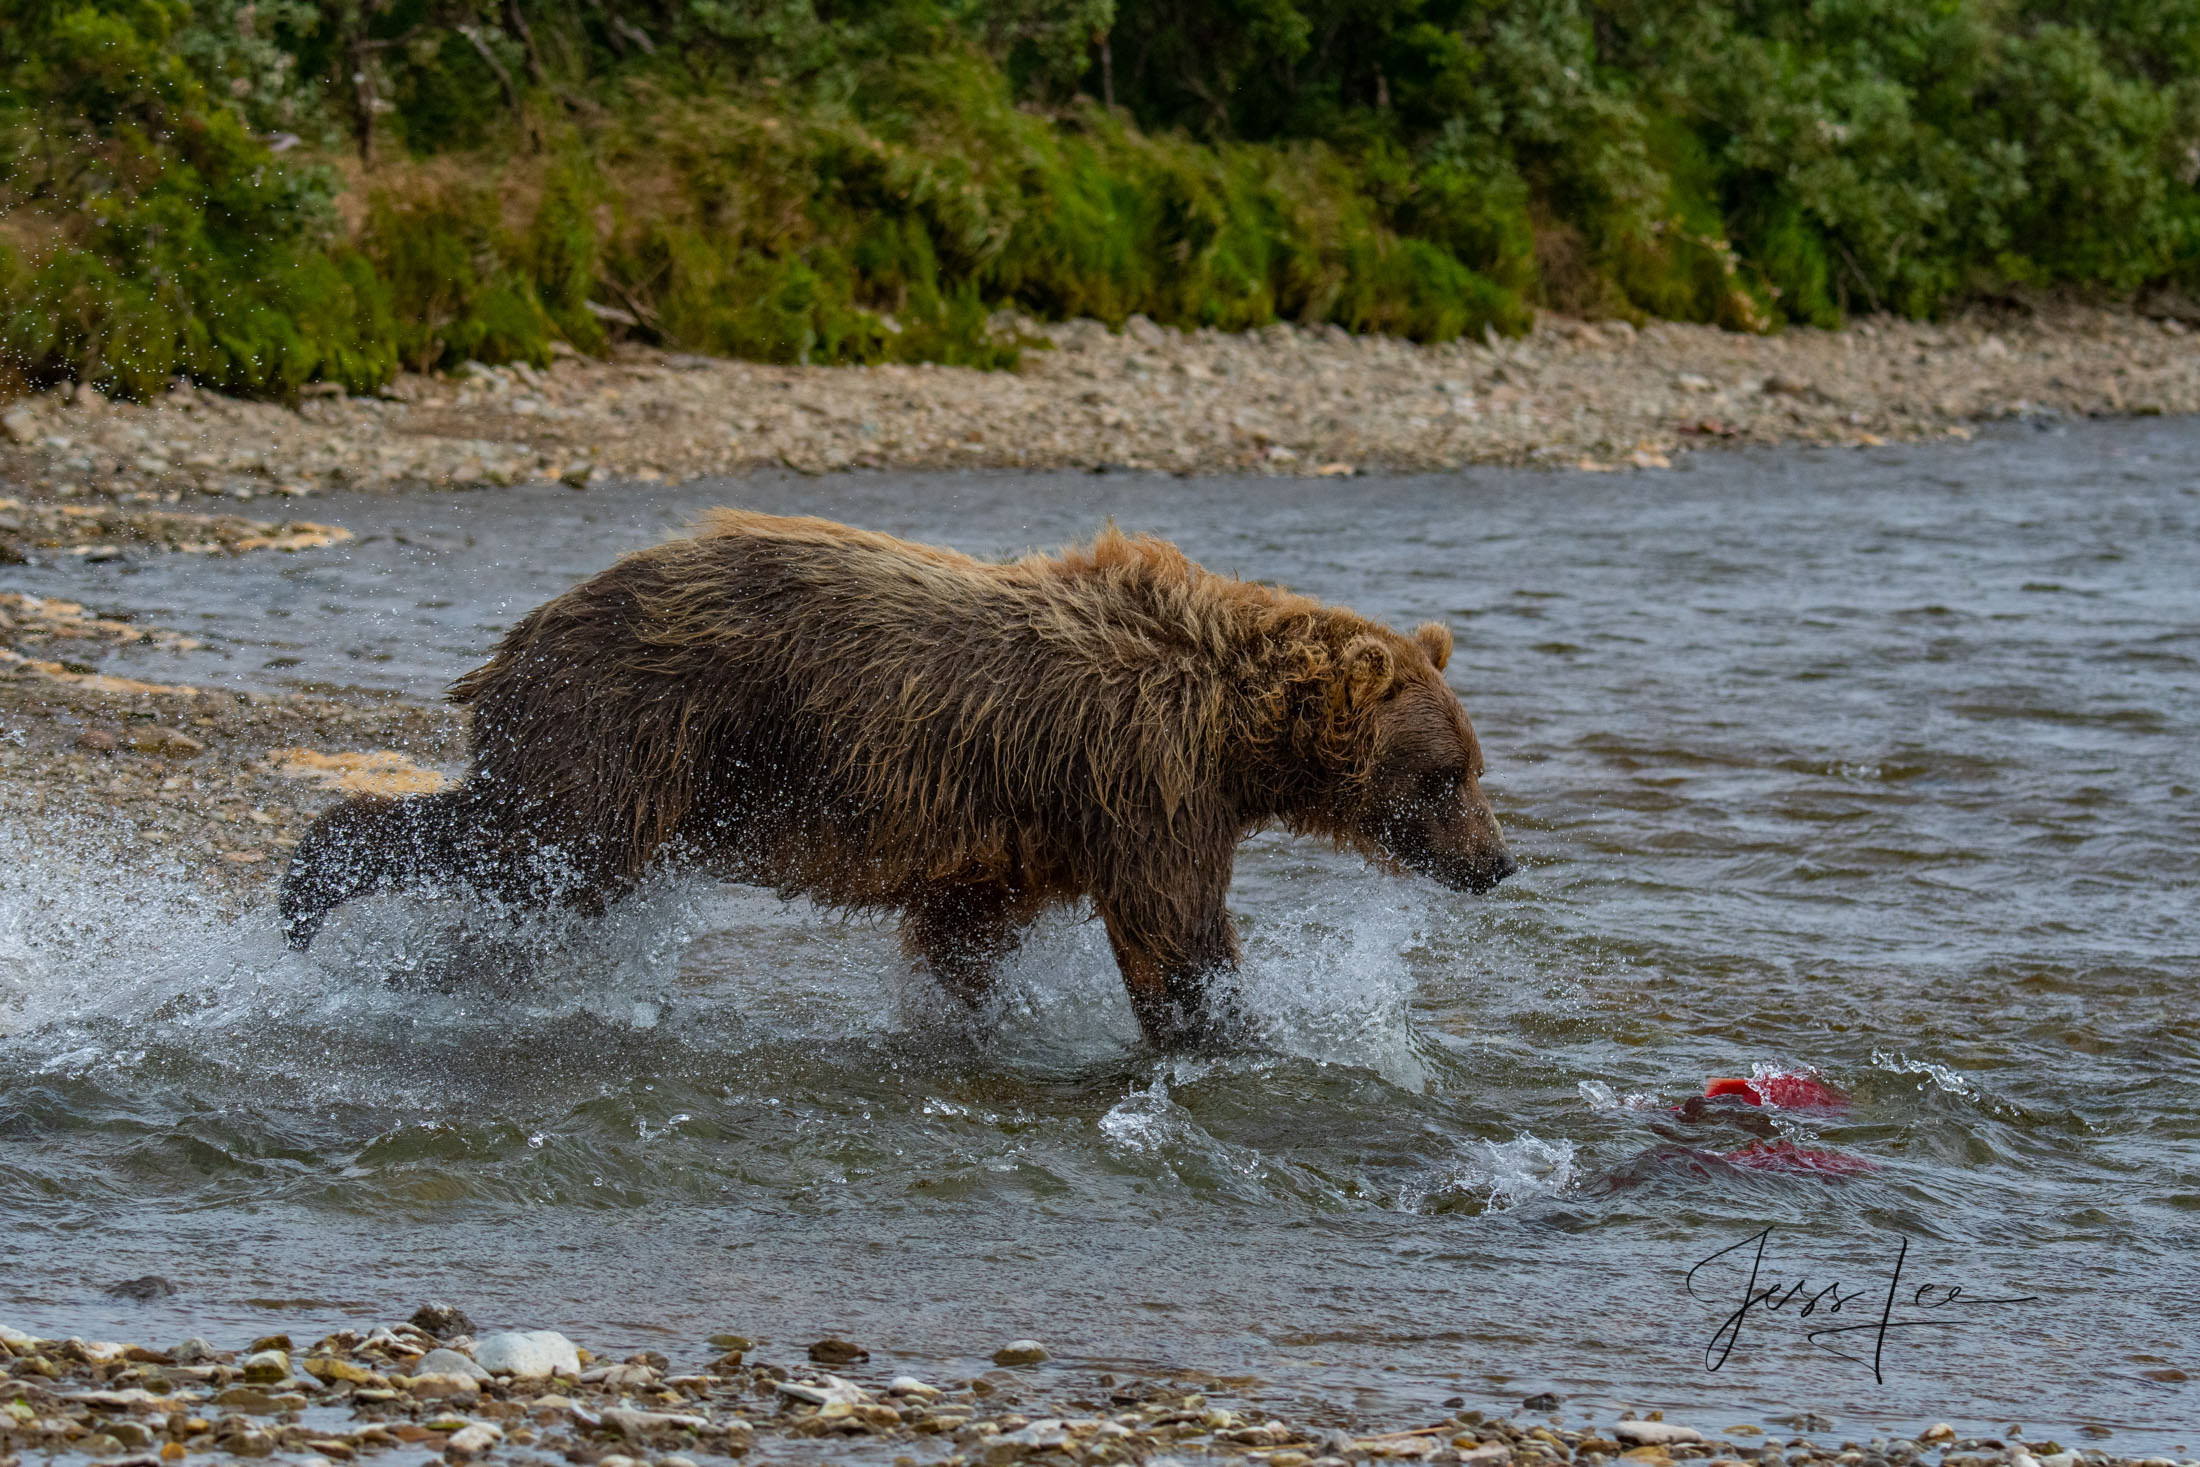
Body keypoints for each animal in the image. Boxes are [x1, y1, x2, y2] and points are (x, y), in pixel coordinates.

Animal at [283, 510, 1513, 1051]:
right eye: (1445, 776)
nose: (1500, 863)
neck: (1237, 732)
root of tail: (529, 628)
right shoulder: (1144, 784)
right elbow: (1176, 930)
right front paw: (1226, 1032)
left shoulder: (1021, 834)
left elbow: (966, 933)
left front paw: (969, 1020)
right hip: (632, 726)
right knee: (530, 846)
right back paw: (310, 892)